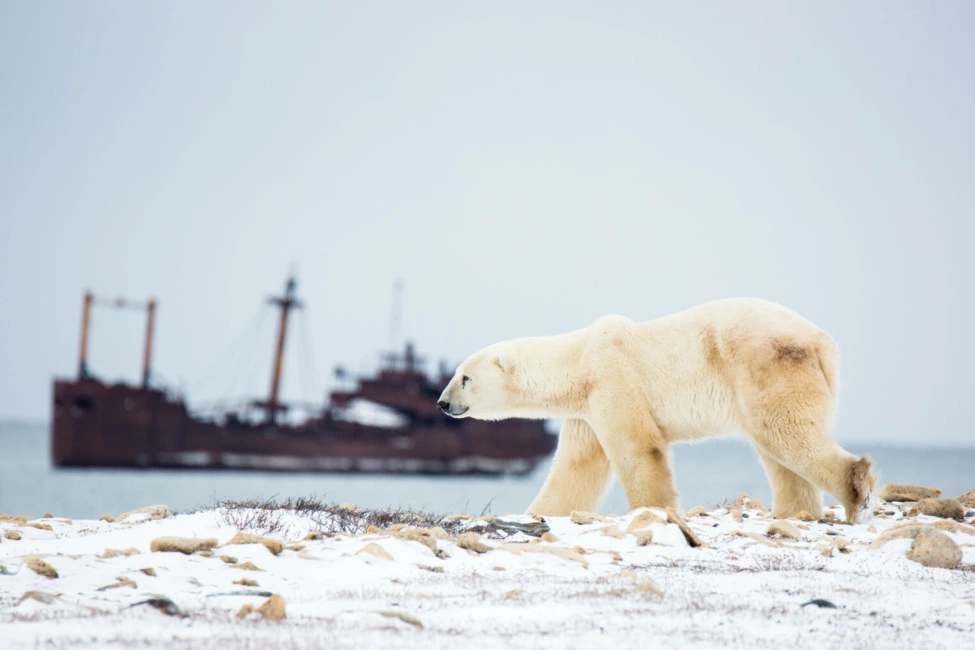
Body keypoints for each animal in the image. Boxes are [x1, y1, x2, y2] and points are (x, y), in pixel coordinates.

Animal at [437, 298, 877, 524]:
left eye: (464, 378)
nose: (442, 403)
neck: (579, 359)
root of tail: (823, 344)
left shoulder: (614, 379)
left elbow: (637, 450)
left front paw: (655, 512)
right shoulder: (587, 407)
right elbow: (577, 466)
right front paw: (539, 513)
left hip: (768, 365)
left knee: (787, 431)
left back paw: (856, 490)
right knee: (778, 449)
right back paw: (793, 512)